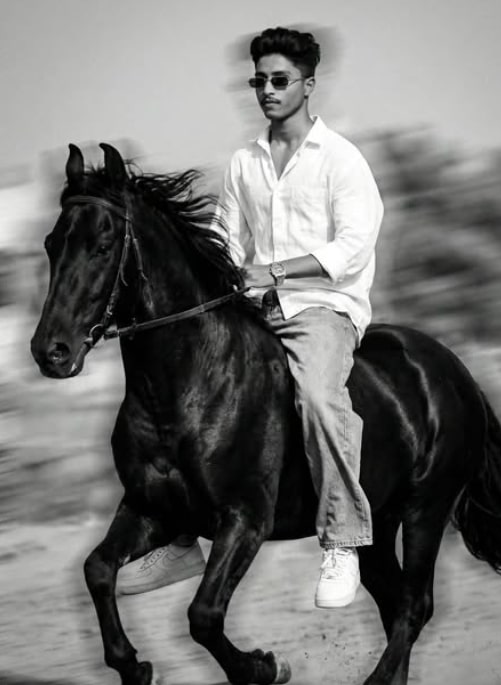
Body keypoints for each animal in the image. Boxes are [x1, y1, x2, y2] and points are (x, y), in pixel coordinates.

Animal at [31, 143, 501, 685]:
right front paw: (133, 666)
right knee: (394, 602)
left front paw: (264, 667)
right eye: (51, 244)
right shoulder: (151, 510)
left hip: (425, 509)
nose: (51, 352)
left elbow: (203, 615)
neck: (188, 388)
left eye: (103, 246)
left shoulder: (245, 519)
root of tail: (456, 371)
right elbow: (97, 570)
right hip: (378, 522)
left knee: (414, 606)